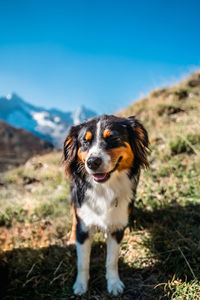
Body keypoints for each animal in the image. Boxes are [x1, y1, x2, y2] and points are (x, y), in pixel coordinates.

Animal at [63, 115, 149, 296]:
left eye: (112, 138)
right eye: (85, 142)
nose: (92, 162)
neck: (104, 188)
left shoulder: (117, 227)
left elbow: (112, 259)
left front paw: (114, 284)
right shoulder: (84, 225)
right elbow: (83, 262)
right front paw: (80, 286)